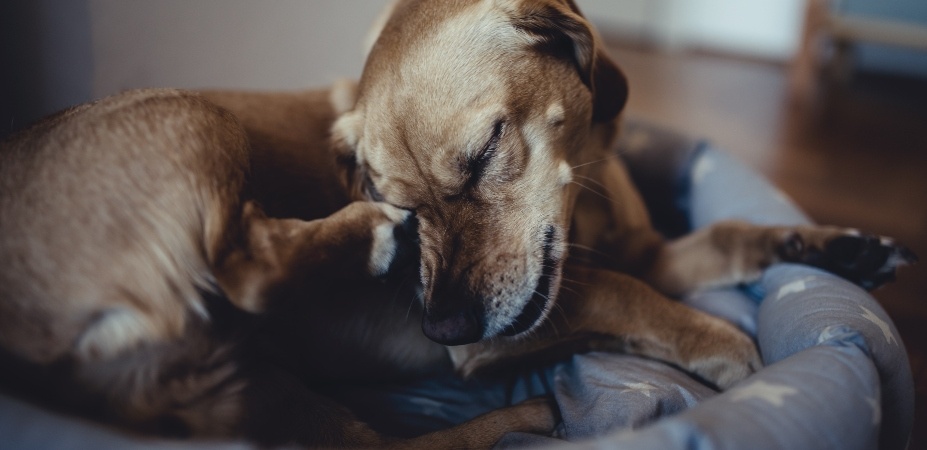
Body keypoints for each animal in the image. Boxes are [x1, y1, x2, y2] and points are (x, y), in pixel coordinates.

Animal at [0, 0, 912, 446]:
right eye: (399, 196)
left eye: (482, 155)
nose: (438, 326)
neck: (586, 195)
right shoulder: (521, 323)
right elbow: (622, 294)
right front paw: (721, 344)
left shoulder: (648, 250)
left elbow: (721, 240)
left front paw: (827, 246)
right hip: (193, 118)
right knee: (246, 272)